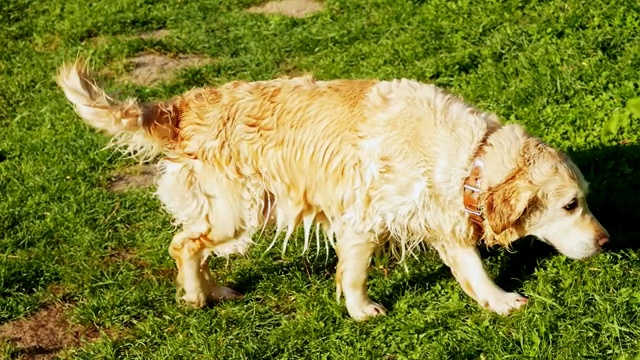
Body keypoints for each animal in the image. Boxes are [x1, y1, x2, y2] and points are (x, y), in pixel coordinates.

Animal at [56, 59, 608, 320]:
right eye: (570, 204)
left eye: (583, 199)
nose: (606, 241)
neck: (464, 152)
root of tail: (182, 108)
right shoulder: (364, 217)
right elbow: (355, 274)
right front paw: (362, 311)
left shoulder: (441, 217)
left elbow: (472, 269)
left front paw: (499, 300)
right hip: (236, 212)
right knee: (183, 244)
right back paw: (195, 297)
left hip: (238, 215)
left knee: (194, 244)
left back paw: (215, 290)